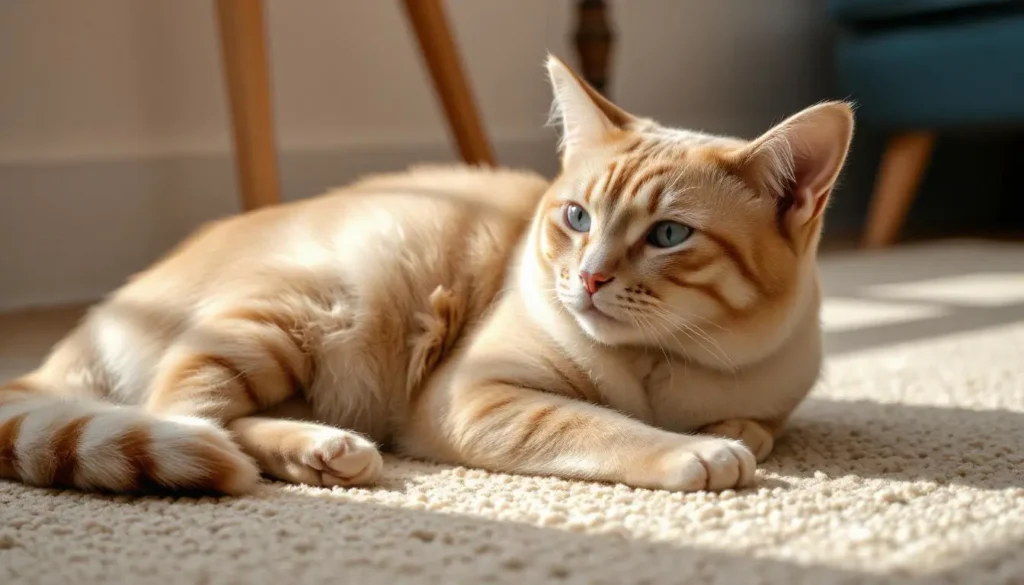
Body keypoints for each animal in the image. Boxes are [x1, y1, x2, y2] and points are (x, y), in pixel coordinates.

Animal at [0, 57, 847, 493]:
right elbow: (600, 425)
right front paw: (696, 451)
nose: (590, 279)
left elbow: (753, 425)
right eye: (577, 218)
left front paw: (724, 432)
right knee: (193, 421)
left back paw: (322, 451)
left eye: (670, 235)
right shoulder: (477, 397)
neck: (670, 366)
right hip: (287, 316)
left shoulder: (768, 397)